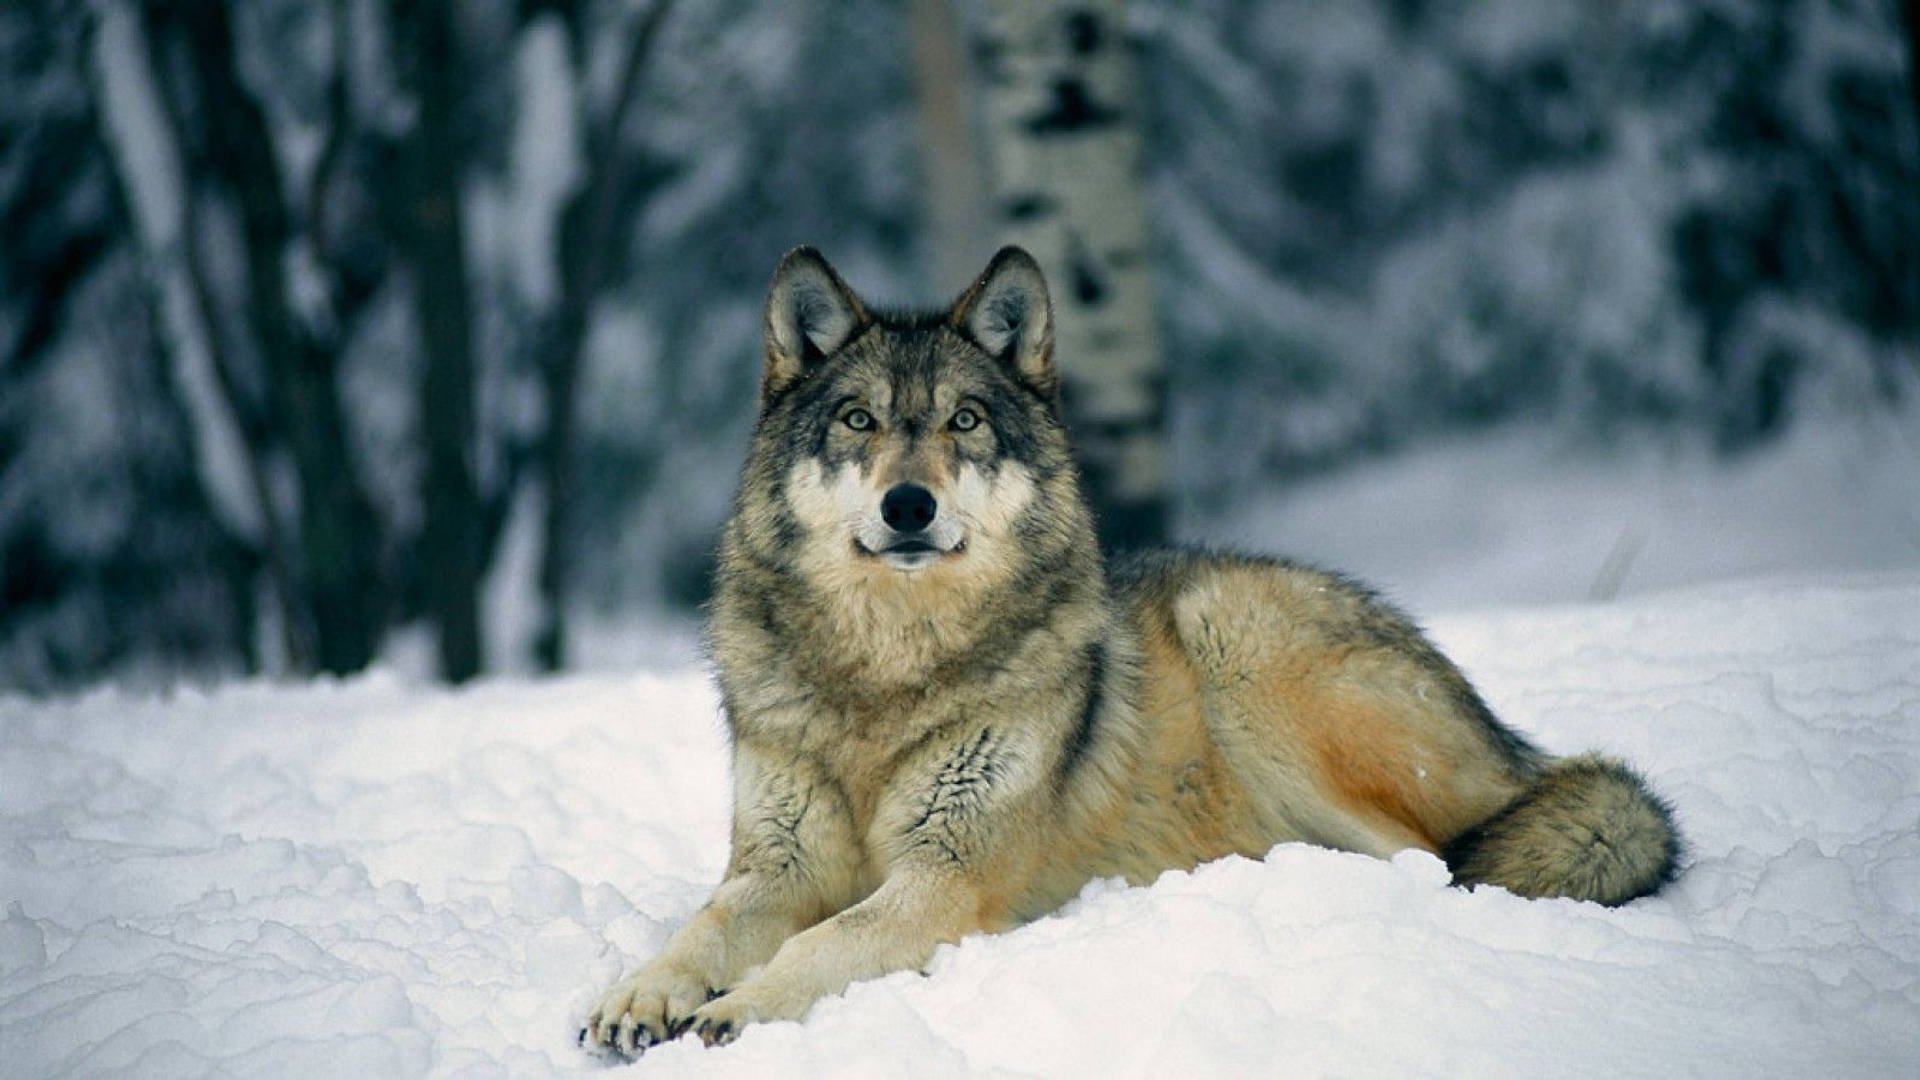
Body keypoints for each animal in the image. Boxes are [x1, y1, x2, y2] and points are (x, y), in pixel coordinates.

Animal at [581, 246, 1680, 1057]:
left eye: (964, 421)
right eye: (860, 420)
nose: (909, 505)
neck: (887, 673)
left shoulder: (946, 876)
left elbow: (822, 942)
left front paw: (735, 1009)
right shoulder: (775, 865)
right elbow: (702, 928)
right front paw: (638, 996)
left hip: (1245, 651)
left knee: (1438, 859)